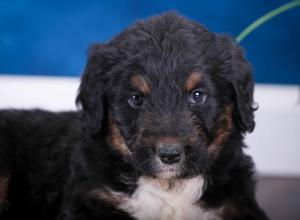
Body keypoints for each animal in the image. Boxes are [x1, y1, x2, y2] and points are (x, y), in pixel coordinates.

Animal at [0, 12, 268, 220]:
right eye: (136, 98)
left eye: (198, 95)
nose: (170, 155)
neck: (169, 187)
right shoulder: (88, 200)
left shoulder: (237, 203)